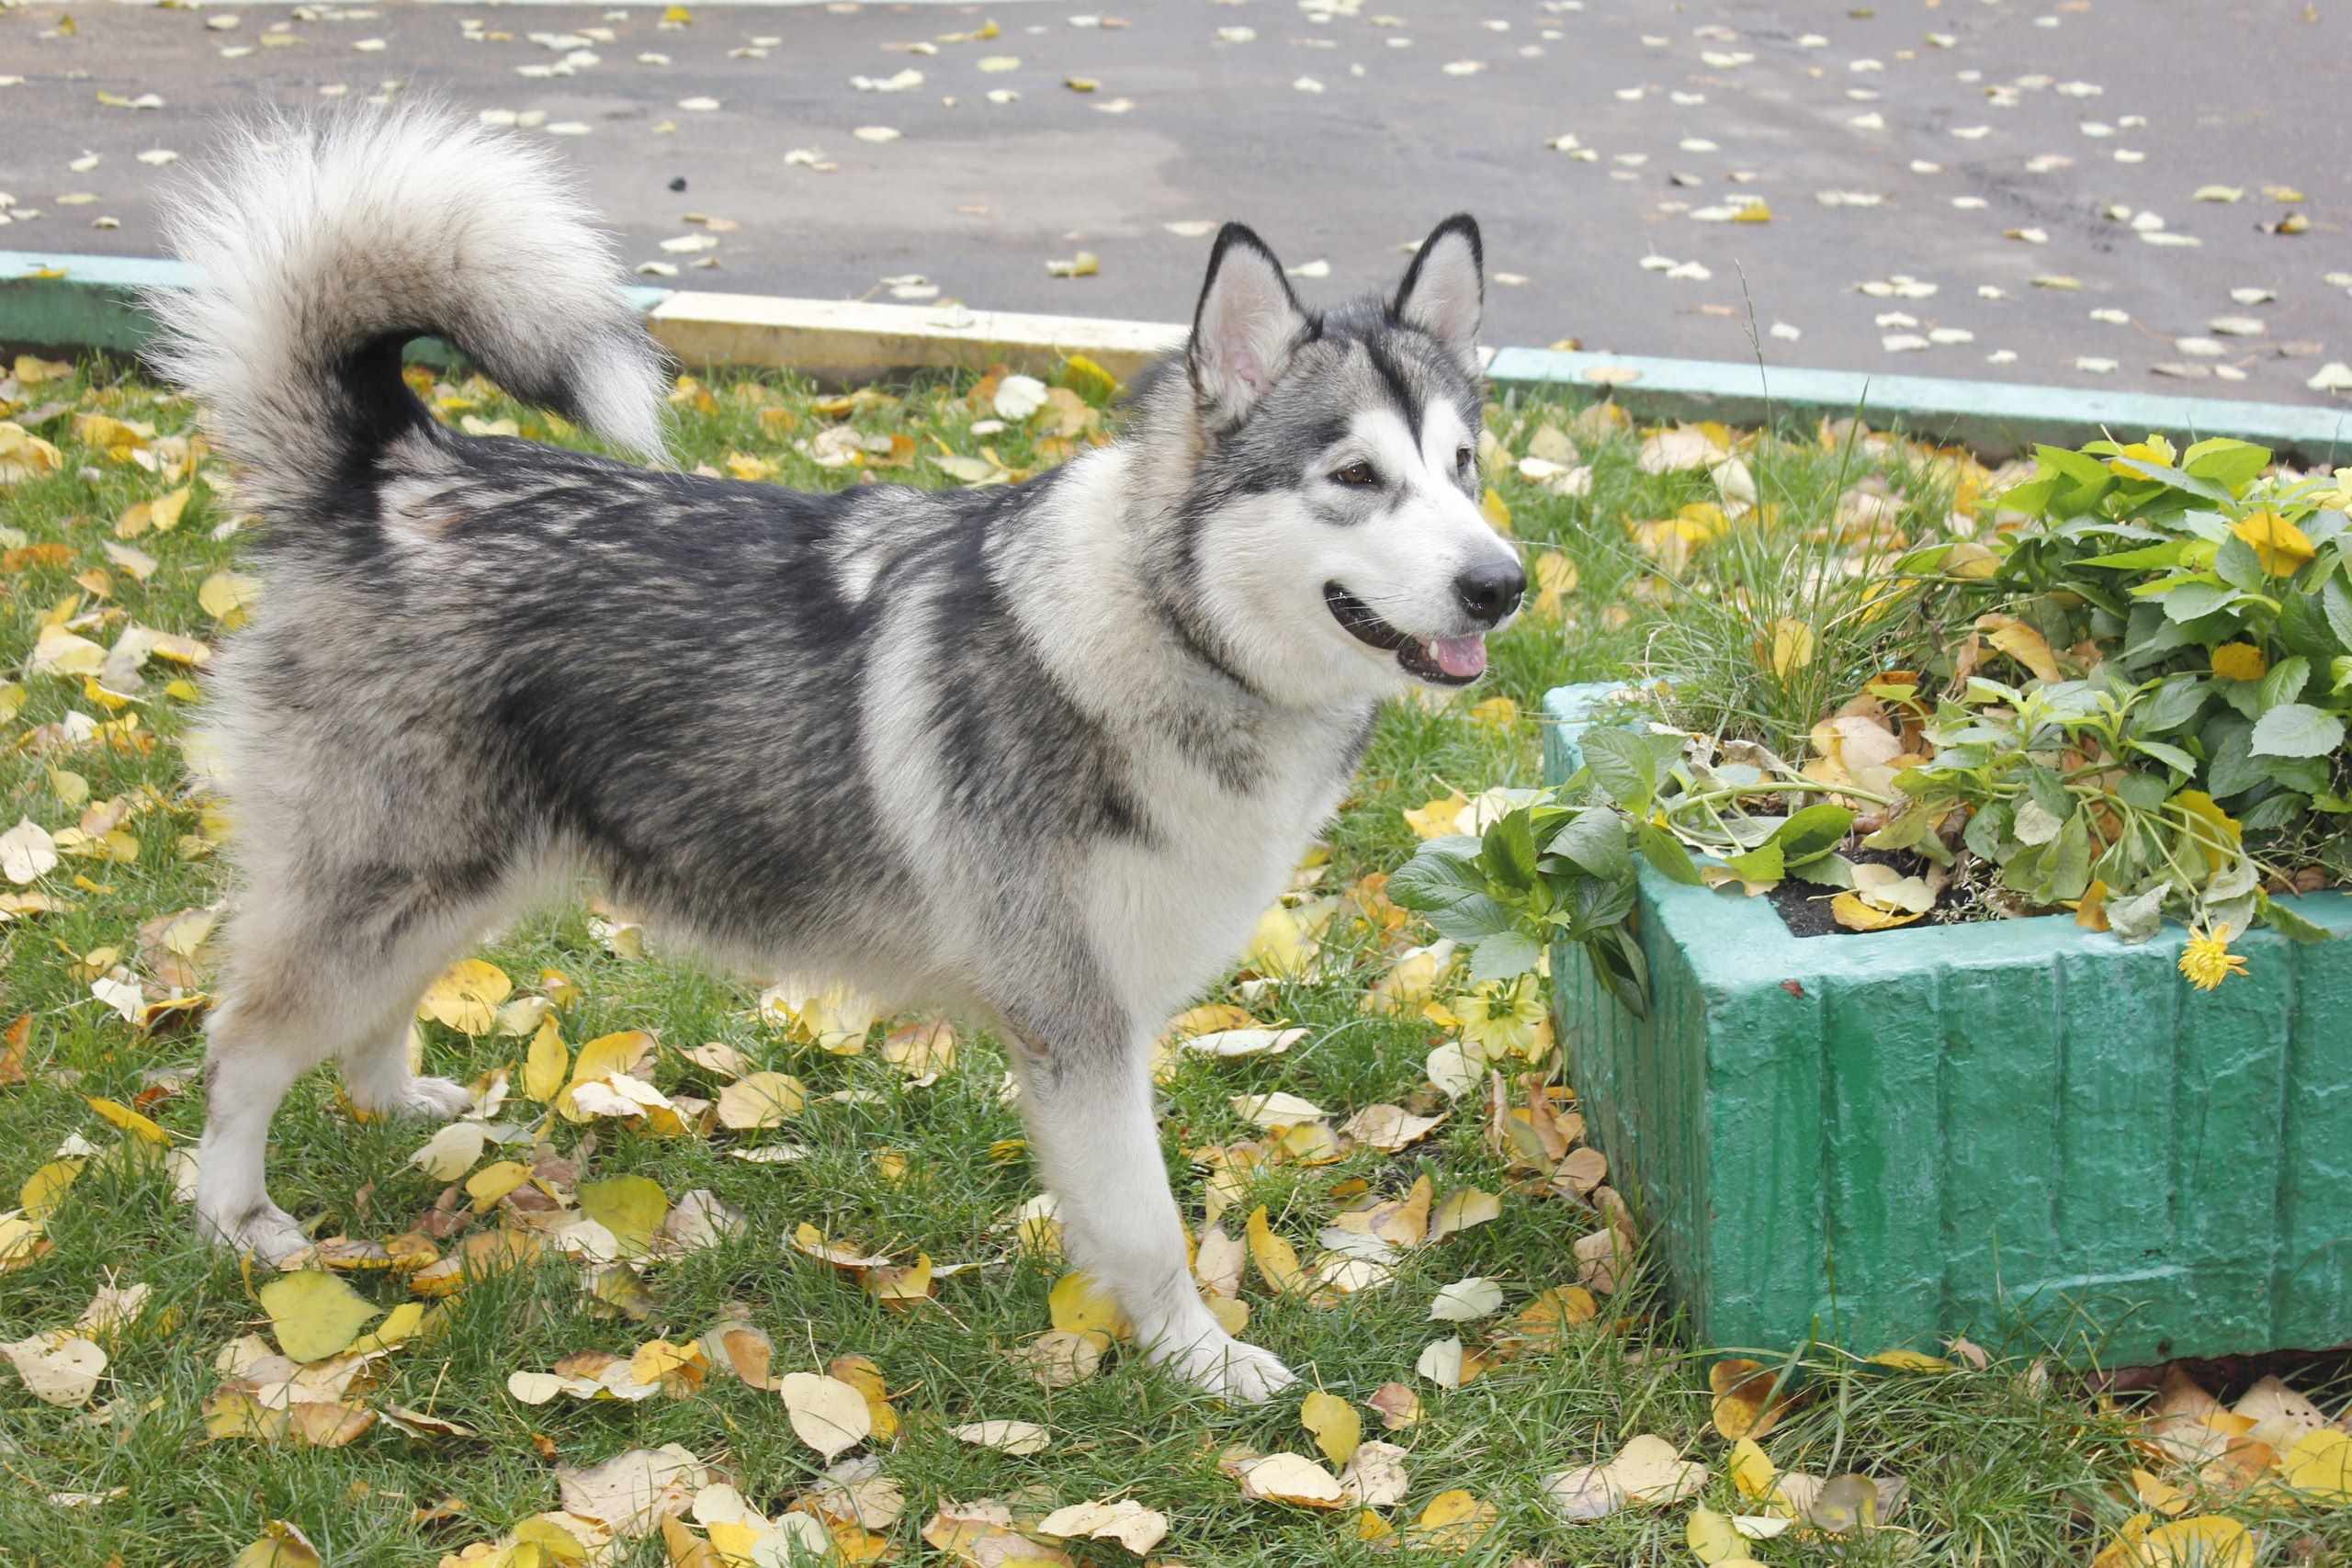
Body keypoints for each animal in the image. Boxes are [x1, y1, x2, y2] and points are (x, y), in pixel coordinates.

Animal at [161, 110, 1523, 1410]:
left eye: (1462, 466)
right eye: (1354, 475)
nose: (1501, 584)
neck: (1159, 631)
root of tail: (391, 470)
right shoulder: (1077, 1023)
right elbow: (1146, 1227)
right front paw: (1203, 1362)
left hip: (462, 878)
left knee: (362, 1015)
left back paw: (397, 1102)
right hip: (391, 879)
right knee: (242, 1042)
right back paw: (237, 1219)